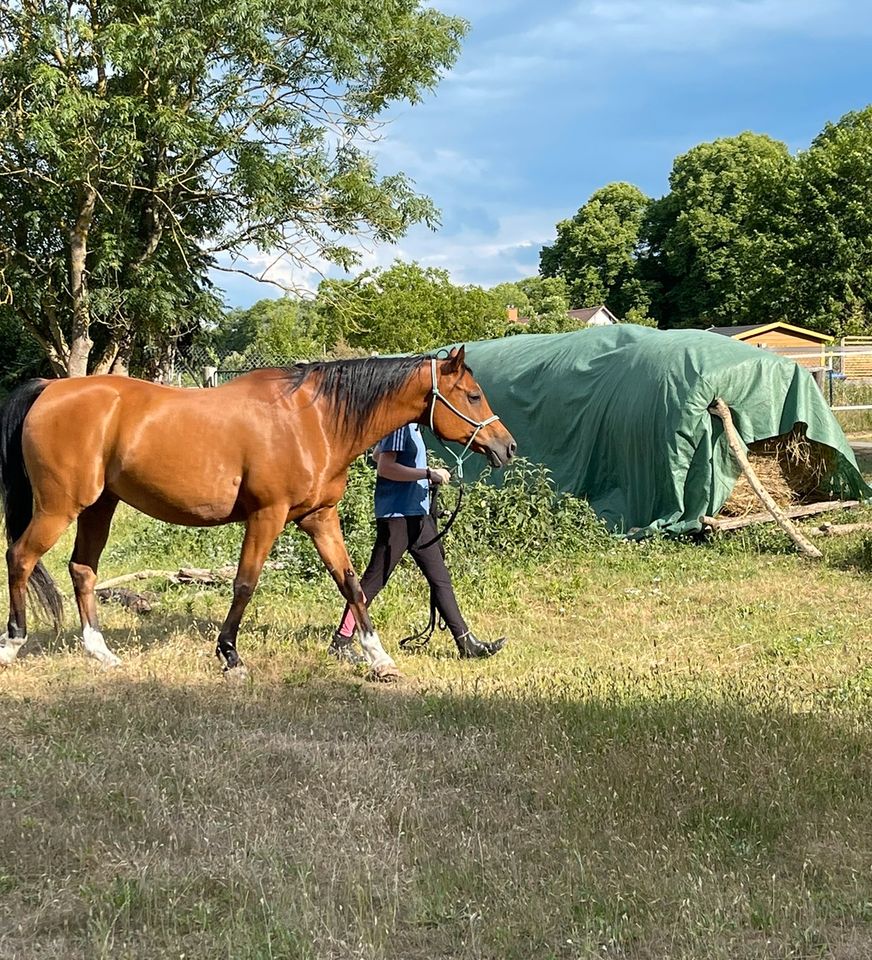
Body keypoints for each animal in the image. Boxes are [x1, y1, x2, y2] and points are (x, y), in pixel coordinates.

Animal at [0, 348, 516, 680]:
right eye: (473, 395)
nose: (507, 447)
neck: (313, 420)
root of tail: (49, 389)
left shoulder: (319, 518)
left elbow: (351, 584)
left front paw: (379, 658)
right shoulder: (267, 516)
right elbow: (245, 583)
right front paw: (230, 655)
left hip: (98, 506)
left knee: (82, 569)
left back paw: (100, 652)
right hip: (59, 506)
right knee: (21, 557)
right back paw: (13, 642)